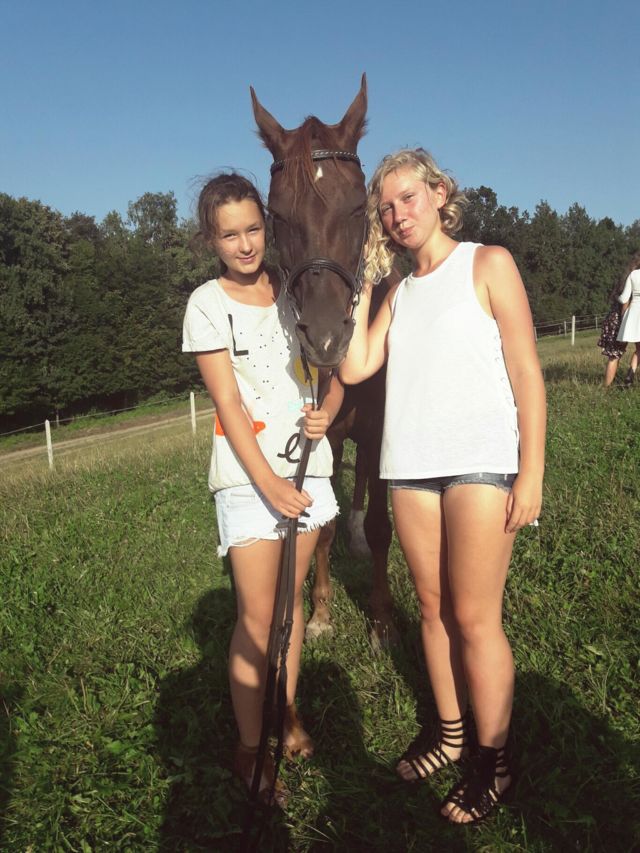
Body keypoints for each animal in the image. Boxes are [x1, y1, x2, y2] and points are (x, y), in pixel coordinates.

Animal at [251, 75, 398, 646]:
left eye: (359, 208)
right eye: (276, 216)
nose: (328, 340)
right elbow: (325, 520)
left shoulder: (378, 429)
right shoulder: (327, 432)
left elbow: (379, 524)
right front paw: (319, 613)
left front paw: (380, 619)